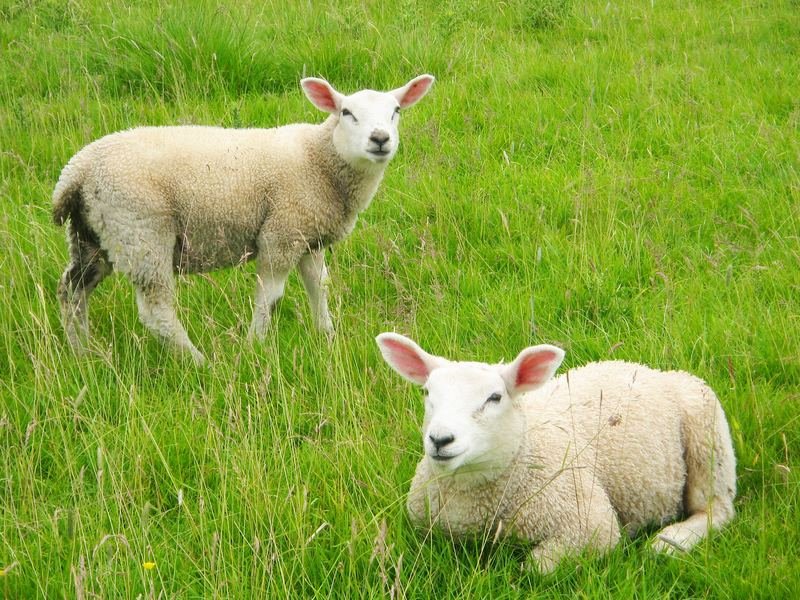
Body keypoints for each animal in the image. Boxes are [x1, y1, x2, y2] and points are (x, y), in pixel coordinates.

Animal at [52, 75, 435, 364]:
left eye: (396, 111)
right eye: (346, 112)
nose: (380, 139)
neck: (319, 160)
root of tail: (76, 172)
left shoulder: (308, 236)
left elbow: (319, 286)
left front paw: (326, 335)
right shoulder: (281, 232)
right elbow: (270, 295)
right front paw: (256, 344)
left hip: (95, 234)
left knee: (72, 290)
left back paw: (81, 352)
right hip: (141, 232)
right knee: (156, 312)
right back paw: (199, 362)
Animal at [375, 333, 737, 573]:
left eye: (494, 397)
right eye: (427, 393)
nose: (440, 439)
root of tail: (647, 369)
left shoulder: (589, 524)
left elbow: (535, 567)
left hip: (708, 436)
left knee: (717, 509)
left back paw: (670, 541)